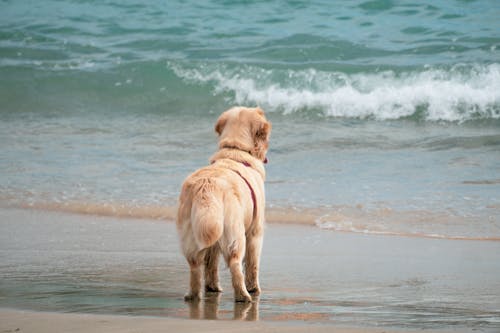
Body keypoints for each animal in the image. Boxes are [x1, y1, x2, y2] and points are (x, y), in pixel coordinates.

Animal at [176, 105, 270, 300]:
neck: (235, 150)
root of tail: (207, 186)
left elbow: (211, 264)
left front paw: (212, 286)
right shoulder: (255, 231)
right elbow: (252, 264)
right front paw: (254, 288)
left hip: (198, 230)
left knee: (195, 265)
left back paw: (194, 294)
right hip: (235, 233)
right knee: (235, 263)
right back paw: (244, 296)